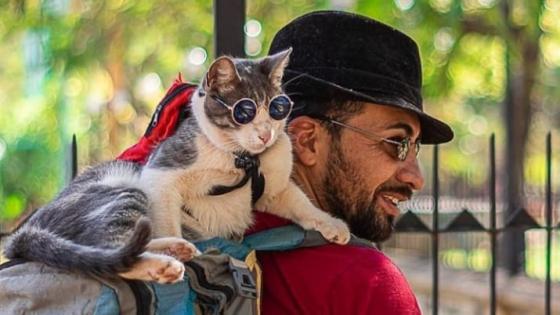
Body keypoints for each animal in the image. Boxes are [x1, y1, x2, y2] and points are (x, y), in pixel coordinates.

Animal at [4, 49, 350, 284]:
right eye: (245, 111)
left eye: (278, 108)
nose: (266, 134)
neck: (242, 158)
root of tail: (25, 231)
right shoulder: (161, 173)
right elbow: (167, 217)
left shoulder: (273, 188)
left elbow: (300, 202)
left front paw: (331, 224)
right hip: (124, 188)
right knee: (109, 250)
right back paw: (163, 262)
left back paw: (176, 249)